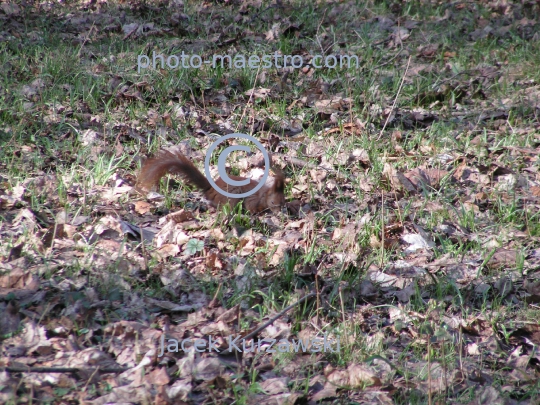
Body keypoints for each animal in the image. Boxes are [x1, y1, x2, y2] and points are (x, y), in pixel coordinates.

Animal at [135, 147, 286, 213]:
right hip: (232, 196)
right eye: (273, 202)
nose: (279, 212)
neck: (264, 194)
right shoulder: (253, 199)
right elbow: (250, 206)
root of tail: (211, 189)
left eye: (283, 202)